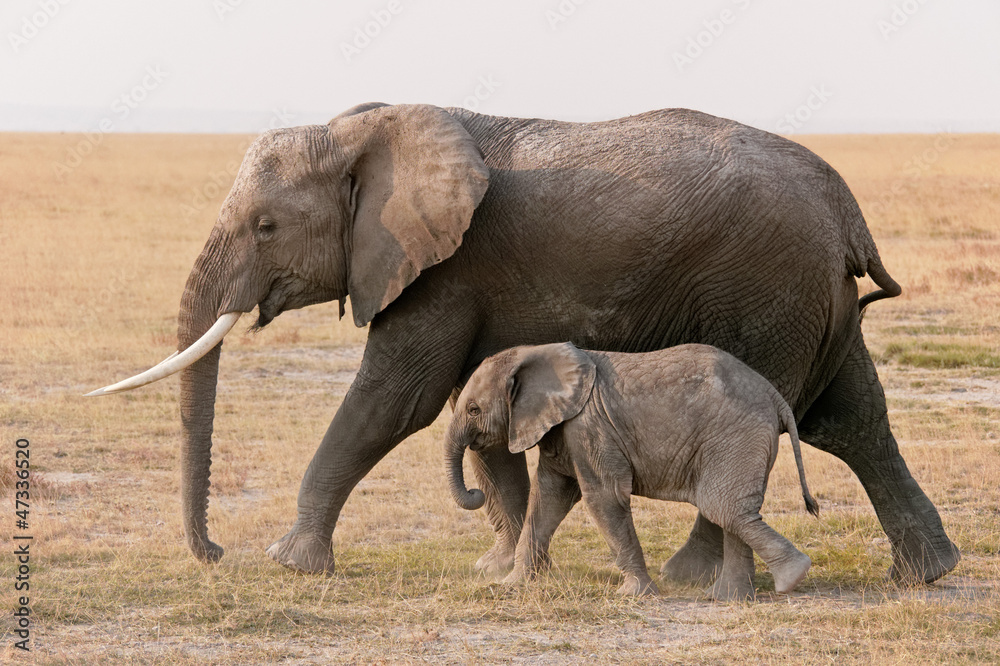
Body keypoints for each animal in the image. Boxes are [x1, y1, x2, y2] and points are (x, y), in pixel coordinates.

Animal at [445, 342, 820, 600]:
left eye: (474, 409)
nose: (475, 494)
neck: (535, 352)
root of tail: (775, 396)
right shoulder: (562, 431)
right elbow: (548, 499)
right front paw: (512, 584)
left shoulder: (589, 428)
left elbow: (603, 498)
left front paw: (634, 595)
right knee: (732, 511)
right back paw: (729, 598)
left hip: (735, 438)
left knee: (724, 508)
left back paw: (792, 577)